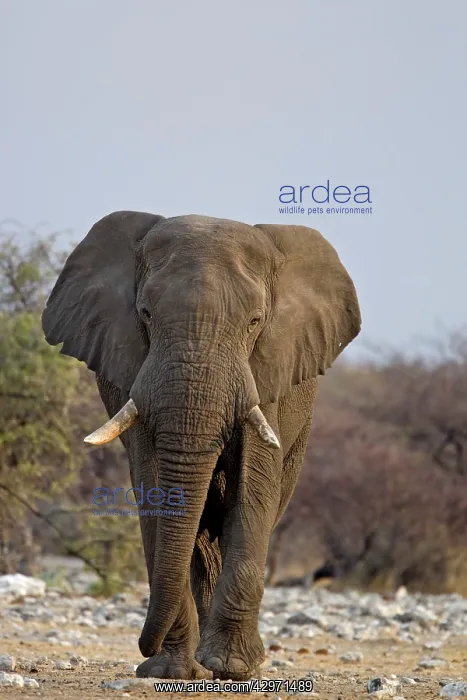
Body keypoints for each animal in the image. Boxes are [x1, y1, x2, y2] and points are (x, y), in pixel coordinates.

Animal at [41, 211, 361, 681]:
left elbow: (253, 487)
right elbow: (154, 486)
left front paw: (233, 668)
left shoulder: (267, 371)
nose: (144, 647)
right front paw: (171, 671)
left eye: (254, 322)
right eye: (145, 313)